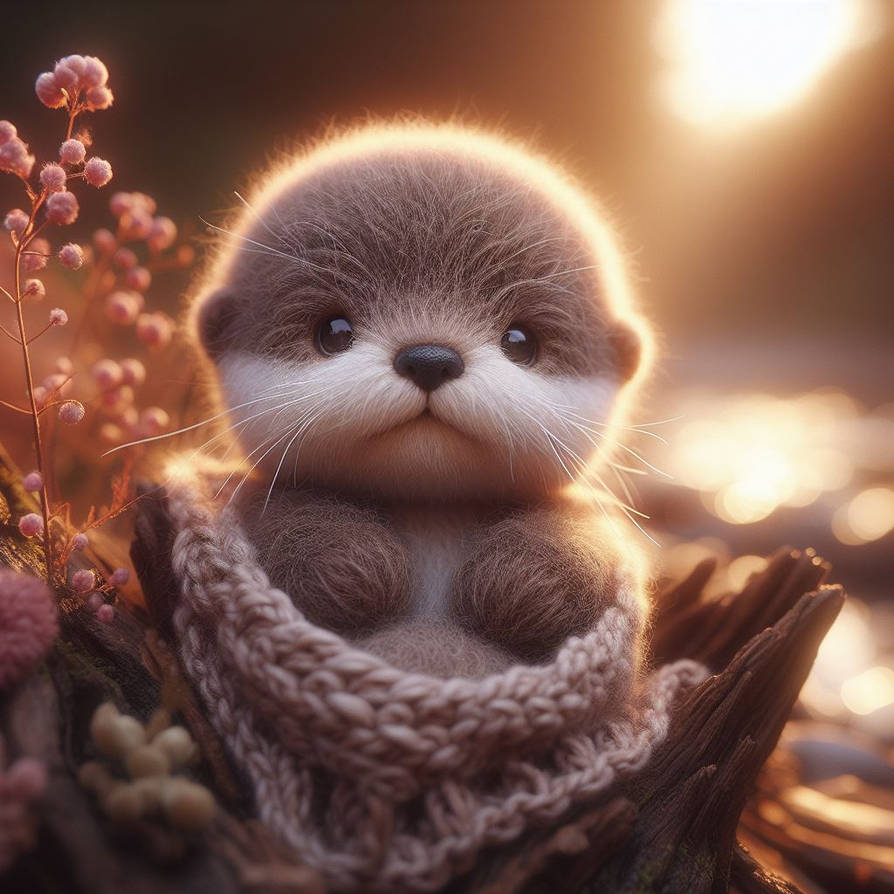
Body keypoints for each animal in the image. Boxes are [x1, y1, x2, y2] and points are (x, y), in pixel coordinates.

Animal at [190, 124, 650, 677]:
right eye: (332, 332)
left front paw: (524, 585)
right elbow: (287, 521)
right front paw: (353, 567)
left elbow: (576, 534)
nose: (429, 358)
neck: (430, 511)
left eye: (521, 341)